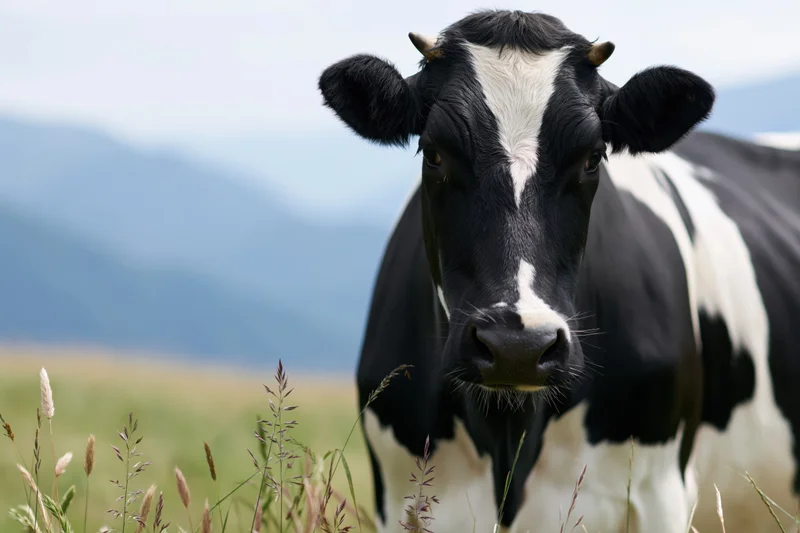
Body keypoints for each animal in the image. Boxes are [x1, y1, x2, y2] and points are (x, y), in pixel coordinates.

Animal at [318, 9, 800, 533]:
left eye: (593, 157)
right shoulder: (398, 497)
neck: (509, 433)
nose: (518, 346)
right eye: (434, 152)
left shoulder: (663, 493)